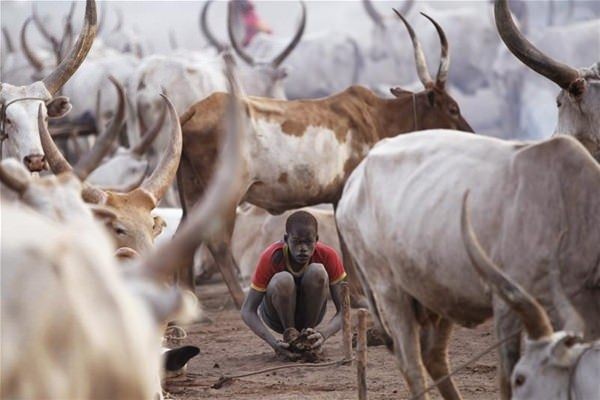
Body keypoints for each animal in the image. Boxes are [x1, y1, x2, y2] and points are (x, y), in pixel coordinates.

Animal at [177, 10, 474, 308]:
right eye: (453, 108)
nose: (470, 133)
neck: (376, 117)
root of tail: (193, 111)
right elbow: (346, 244)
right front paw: (358, 296)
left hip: (191, 191)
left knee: (184, 236)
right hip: (226, 194)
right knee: (217, 242)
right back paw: (239, 300)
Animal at [336, 130, 600, 400]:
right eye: (521, 379)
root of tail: (354, 179)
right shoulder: (507, 302)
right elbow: (506, 377)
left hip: (438, 291)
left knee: (434, 356)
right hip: (389, 289)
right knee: (411, 364)